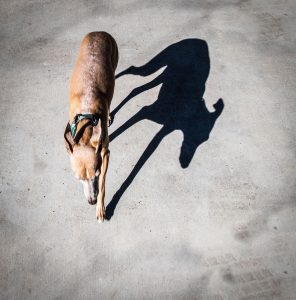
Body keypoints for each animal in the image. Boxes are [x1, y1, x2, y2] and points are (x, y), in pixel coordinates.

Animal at [63, 31, 118, 221]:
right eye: (78, 178)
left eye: (96, 174)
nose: (91, 202)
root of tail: (99, 32)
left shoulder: (106, 154)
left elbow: (102, 184)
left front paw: (101, 208)